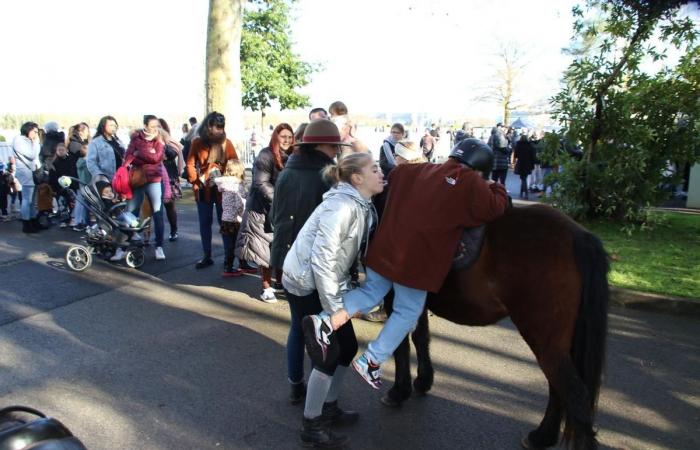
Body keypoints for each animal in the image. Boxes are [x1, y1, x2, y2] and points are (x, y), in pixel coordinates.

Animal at [382, 204, 608, 450]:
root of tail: (578, 236)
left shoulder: (394, 294)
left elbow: (399, 344)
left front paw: (398, 391)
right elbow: (421, 337)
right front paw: (423, 381)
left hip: (545, 341)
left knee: (574, 394)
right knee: (558, 387)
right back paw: (542, 437)